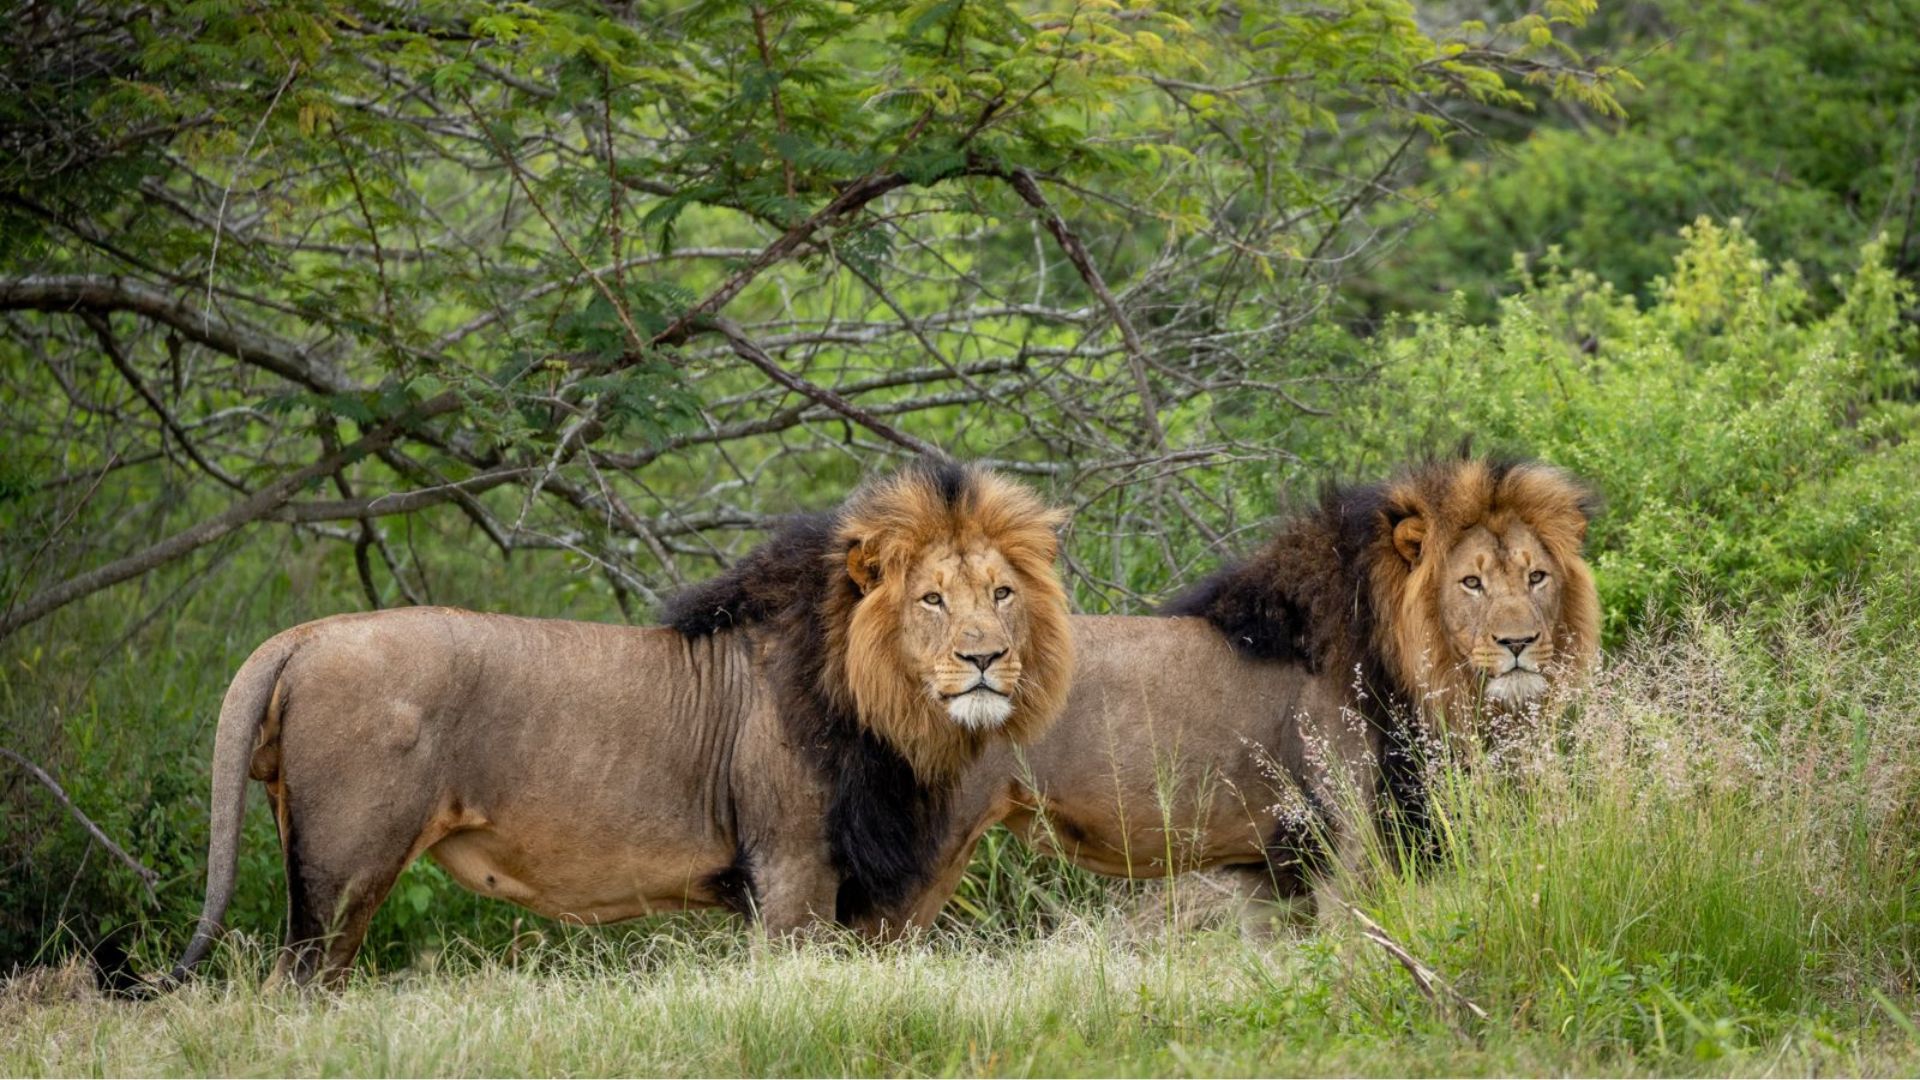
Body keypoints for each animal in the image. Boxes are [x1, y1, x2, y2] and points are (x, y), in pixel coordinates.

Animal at [169, 458, 1073, 985]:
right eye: (932, 599)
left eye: (1001, 593)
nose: (986, 657)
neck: (895, 721)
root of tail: (304, 635)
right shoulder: (791, 868)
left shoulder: (873, 898)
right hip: (344, 866)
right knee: (298, 983)